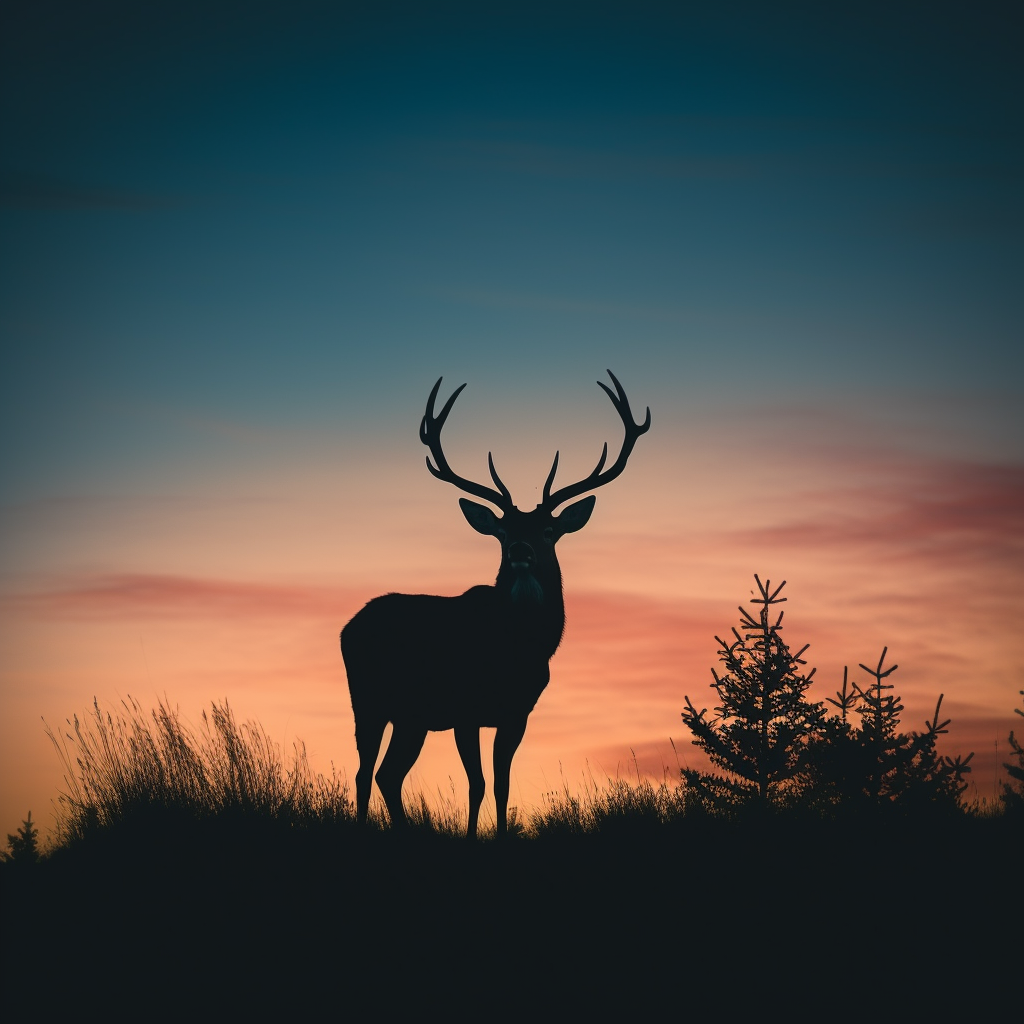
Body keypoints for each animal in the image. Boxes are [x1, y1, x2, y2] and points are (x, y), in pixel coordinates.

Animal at [339, 372, 651, 835]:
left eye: (547, 530)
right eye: (503, 531)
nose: (520, 549)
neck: (516, 650)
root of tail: (349, 626)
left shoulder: (517, 713)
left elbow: (502, 785)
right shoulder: (465, 708)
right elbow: (478, 785)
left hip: (411, 717)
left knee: (387, 774)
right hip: (368, 698)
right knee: (364, 772)